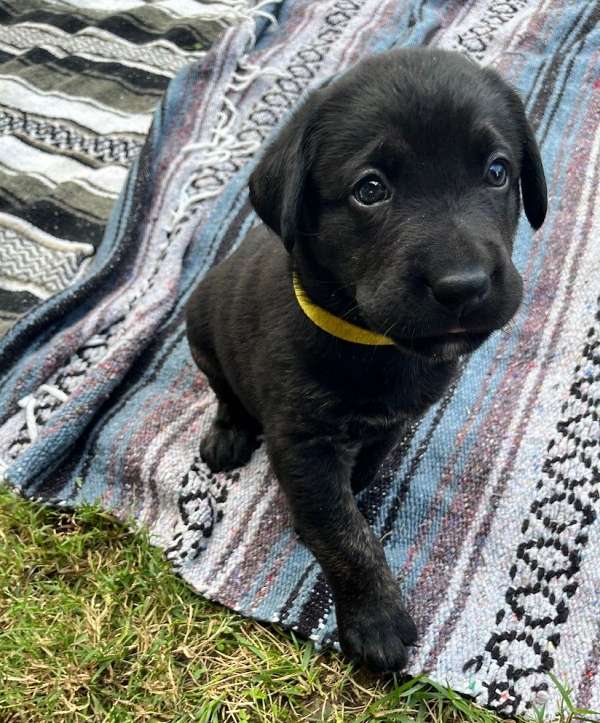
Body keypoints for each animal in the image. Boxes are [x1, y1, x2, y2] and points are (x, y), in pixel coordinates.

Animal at [188, 49, 548, 672]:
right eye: (371, 189)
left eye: (498, 172)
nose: (464, 286)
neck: (373, 343)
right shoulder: (303, 441)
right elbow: (343, 534)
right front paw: (376, 618)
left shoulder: (395, 422)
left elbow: (365, 475)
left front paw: (352, 493)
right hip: (201, 333)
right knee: (224, 391)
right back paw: (228, 434)